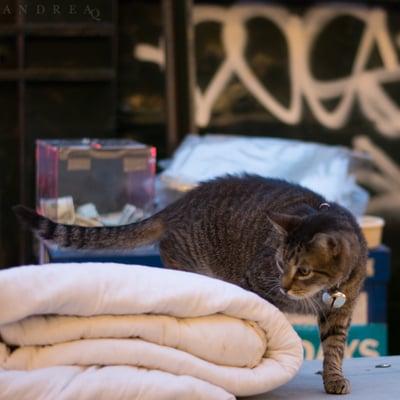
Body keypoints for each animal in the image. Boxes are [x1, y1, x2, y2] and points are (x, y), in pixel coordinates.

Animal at [14, 175, 368, 394]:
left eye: (304, 270)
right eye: (281, 263)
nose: (284, 286)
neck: (326, 291)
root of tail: (177, 205)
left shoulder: (341, 311)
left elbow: (335, 348)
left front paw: (334, 379)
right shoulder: (256, 281)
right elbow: (268, 315)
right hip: (193, 265)